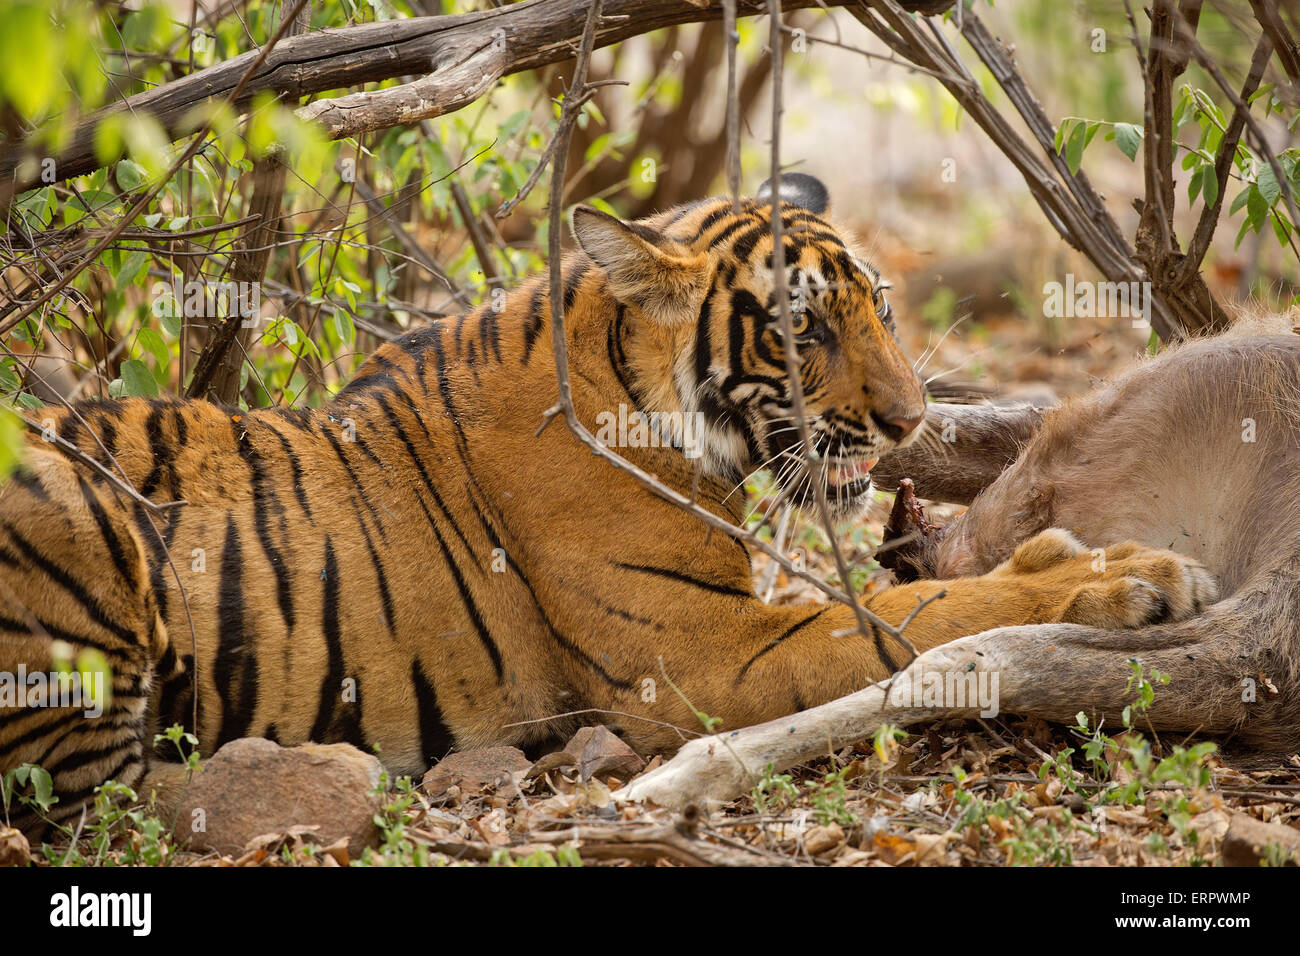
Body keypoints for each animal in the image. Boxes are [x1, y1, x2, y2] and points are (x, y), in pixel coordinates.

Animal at [2, 175, 1216, 832]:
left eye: (877, 300)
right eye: (804, 327)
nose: (909, 419)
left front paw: (1065, 552)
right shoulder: (705, 651)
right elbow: (915, 619)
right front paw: (1132, 576)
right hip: (72, 515)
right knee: (102, 789)